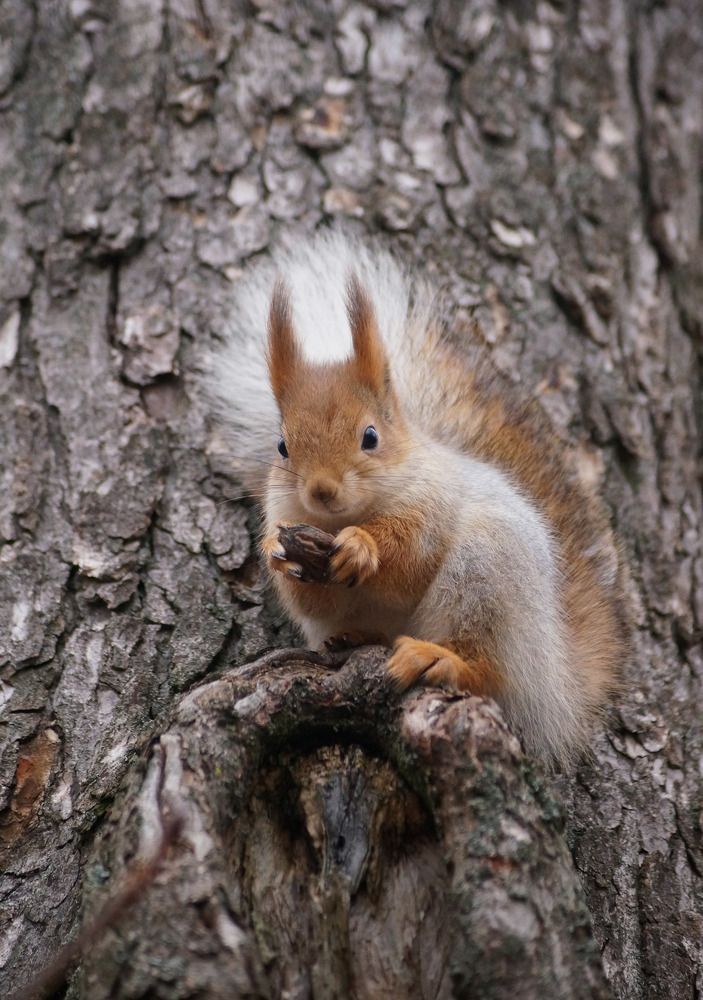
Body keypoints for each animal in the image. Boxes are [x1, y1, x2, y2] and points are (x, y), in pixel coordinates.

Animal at [206, 228, 626, 765]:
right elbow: (312, 598)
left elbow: (409, 560)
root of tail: (556, 687)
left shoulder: (436, 502)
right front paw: (278, 554)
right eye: (282, 447)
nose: (321, 490)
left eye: (370, 436)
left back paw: (439, 659)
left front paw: (362, 546)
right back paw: (358, 636)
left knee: (490, 675)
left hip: (487, 574)